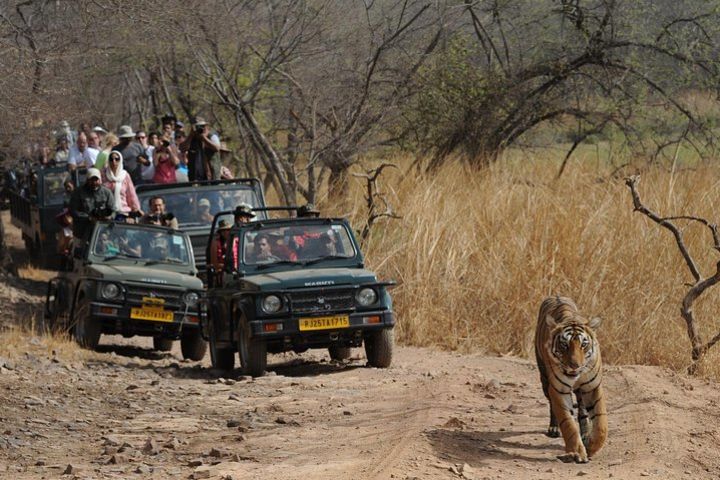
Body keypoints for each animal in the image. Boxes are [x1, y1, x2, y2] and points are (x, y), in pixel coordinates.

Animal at [536, 294, 608, 464]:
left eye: (584, 345)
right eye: (564, 345)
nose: (575, 365)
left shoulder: (592, 387)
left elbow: (601, 424)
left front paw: (591, 447)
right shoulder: (559, 390)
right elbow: (568, 423)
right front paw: (577, 452)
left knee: (582, 410)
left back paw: (586, 433)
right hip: (545, 379)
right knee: (552, 406)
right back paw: (554, 428)